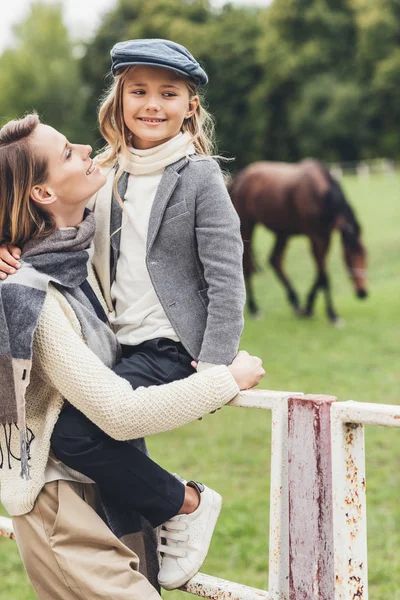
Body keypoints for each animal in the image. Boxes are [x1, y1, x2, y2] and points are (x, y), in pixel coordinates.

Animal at [230, 159, 368, 324]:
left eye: (366, 255)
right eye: (350, 254)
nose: (363, 292)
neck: (321, 196)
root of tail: (240, 177)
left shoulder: (325, 237)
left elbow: (320, 274)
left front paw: (308, 308)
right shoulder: (315, 238)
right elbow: (324, 276)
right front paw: (332, 314)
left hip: (283, 232)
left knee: (275, 260)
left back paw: (295, 302)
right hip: (247, 226)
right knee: (248, 264)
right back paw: (254, 308)